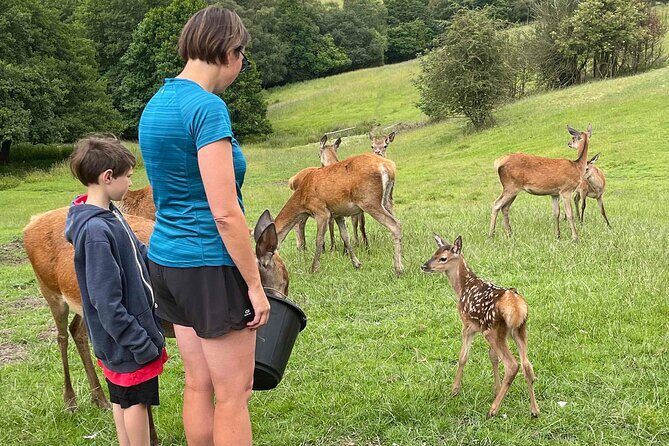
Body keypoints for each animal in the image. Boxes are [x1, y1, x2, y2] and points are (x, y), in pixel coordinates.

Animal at [23, 207, 284, 445]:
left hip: (85, 307)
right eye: (279, 285)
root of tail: (30, 224)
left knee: (77, 331)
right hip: (49, 289)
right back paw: (70, 401)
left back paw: (101, 400)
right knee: (61, 337)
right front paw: (153, 438)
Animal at [421, 234, 539, 418]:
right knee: (527, 365)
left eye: (443, 258)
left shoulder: (468, 325)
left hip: (493, 331)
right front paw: (496, 389)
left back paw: (493, 409)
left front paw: (455, 390)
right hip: (519, 331)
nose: (424, 266)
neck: (462, 287)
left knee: (512, 365)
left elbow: (463, 357)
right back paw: (534, 410)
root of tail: (516, 307)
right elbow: (493, 357)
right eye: (434, 253)